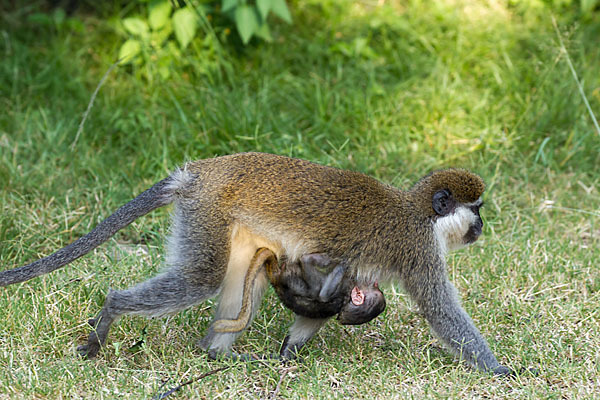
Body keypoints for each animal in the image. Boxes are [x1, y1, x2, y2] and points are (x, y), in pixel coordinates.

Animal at [213, 248, 386, 332]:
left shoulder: (342, 289)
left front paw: (342, 264)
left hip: (288, 273)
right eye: (376, 286)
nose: (376, 281)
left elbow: (323, 294)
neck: (346, 300)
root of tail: (277, 278)